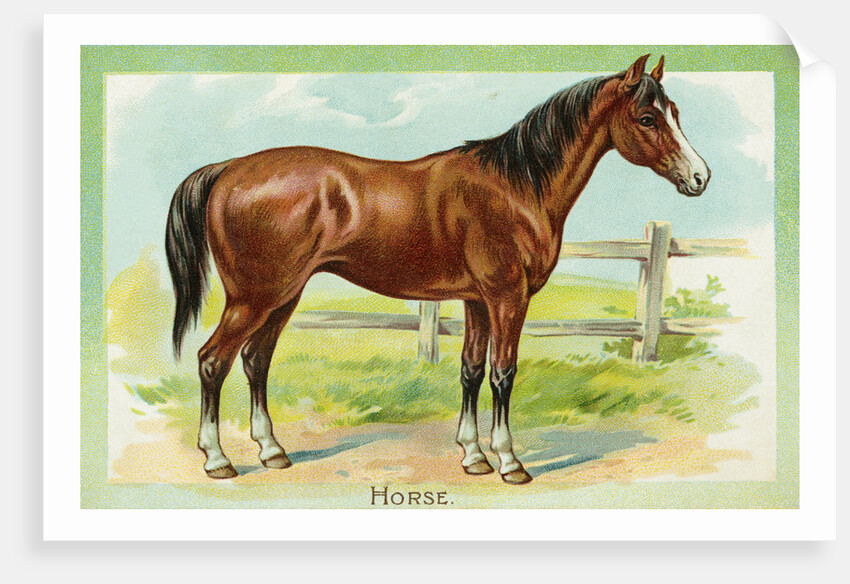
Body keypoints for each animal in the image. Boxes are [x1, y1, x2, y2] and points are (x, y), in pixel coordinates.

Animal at [165, 54, 710, 484]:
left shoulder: (476, 300)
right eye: (646, 117)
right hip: (253, 297)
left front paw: (473, 456)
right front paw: (509, 462)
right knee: (213, 360)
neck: (515, 186)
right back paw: (218, 460)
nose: (700, 177)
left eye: (676, 113)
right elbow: (503, 373)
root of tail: (227, 170)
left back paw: (273, 452)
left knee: (256, 361)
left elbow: (471, 370)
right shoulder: (508, 296)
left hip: (283, 296)